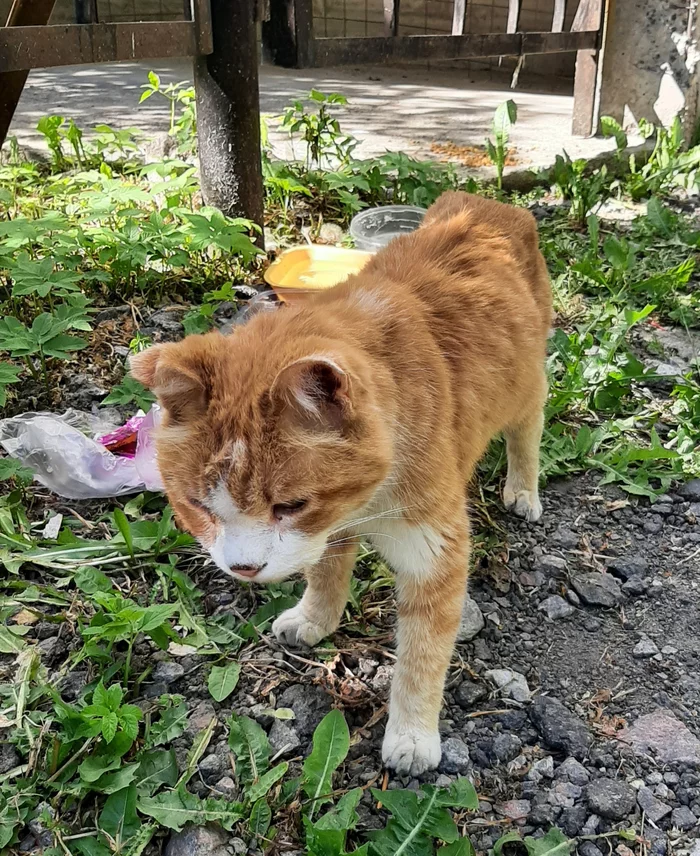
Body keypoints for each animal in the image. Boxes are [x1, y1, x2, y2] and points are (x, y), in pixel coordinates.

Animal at [133, 192, 552, 776]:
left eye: (290, 504)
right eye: (198, 506)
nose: (243, 568)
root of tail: (485, 202)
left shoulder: (434, 550)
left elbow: (423, 652)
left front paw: (412, 734)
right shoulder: (329, 527)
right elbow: (327, 571)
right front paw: (316, 617)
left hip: (527, 383)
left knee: (527, 430)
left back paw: (523, 489)